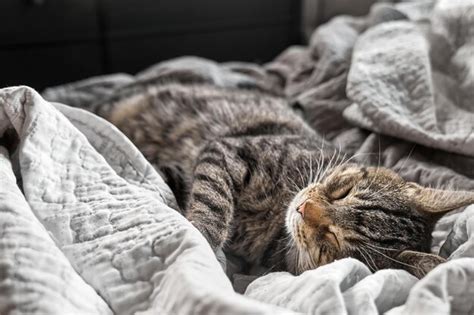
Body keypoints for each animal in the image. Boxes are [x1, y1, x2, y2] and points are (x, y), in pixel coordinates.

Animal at [91, 82, 474, 278]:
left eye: (332, 240)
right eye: (343, 191)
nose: (304, 208)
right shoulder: (229, 150)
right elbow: (213, 203)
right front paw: (201, 237)